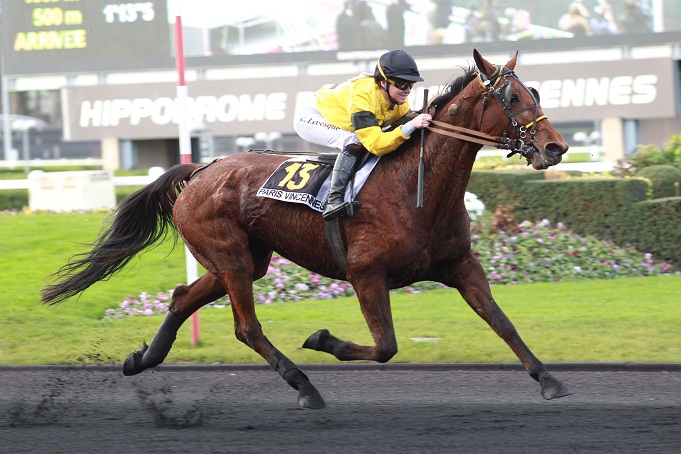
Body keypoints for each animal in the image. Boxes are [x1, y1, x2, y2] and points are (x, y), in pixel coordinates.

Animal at [41, 49, 568, 408]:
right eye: (513, 97)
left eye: (537, 93)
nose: (556, 147)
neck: (417, 189)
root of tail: (199, 170)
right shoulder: (365, 273)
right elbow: (385, 347)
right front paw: (322, 340)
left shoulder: (458, 264)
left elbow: (500, 321)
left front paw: (548, 379)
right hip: (231, 258)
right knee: (247, 327)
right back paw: (304, 385)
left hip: (243, 261)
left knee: (181, 297)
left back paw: (142, 360)